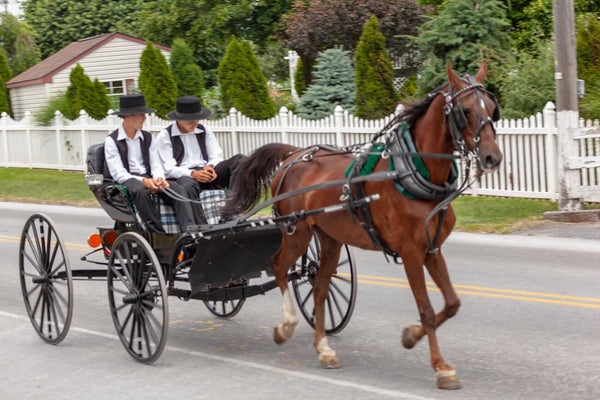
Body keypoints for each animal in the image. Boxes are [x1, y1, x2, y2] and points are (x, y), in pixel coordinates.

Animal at [224, 60, 502, 390]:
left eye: (493, 108)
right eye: (466, 110)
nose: (492, 157)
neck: (413, 173)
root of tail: (294, 154)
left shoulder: (432, 250)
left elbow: (451, 304)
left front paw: (410, 336)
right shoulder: (411, 253)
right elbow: (427, 310)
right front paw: (440, 367)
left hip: (329, 238)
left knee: (319, 287)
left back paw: (324, 348)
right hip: (296, 232)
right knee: (279, 267)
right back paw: (286, 326)